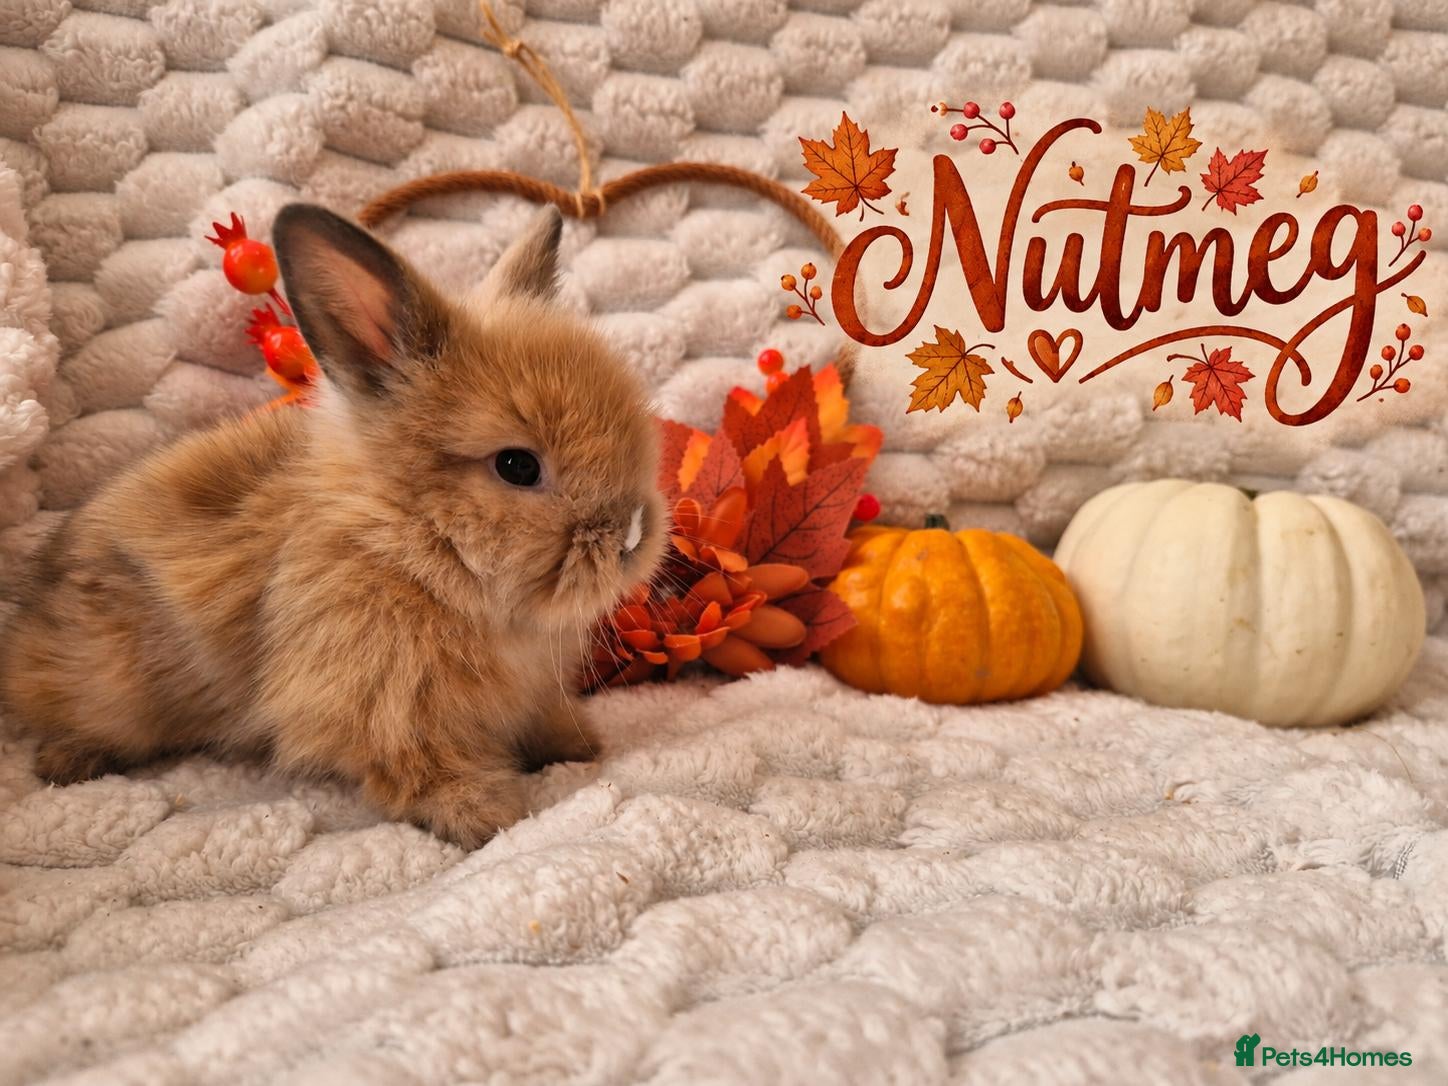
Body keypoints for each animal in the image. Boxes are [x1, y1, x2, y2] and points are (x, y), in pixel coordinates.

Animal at [0, 204, 666, 848]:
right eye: (517, 466)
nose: (632, 535)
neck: (405, 541)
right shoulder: (381, 709)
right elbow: (420, 769)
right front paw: (488, 816)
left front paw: (579, 746)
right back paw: (68, 763)